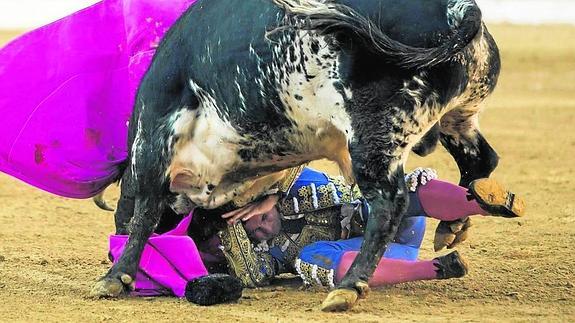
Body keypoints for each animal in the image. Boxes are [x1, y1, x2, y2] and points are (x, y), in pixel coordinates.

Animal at [92, 0, 502, 312]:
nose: (113, 246)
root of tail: (458, 9)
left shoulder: (154, 137)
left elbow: (145, 211)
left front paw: (116, 278)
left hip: (374, 137)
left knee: (391, 203)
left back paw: (349, 287)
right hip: (457, 119)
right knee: (481, 161)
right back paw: (458, 222)